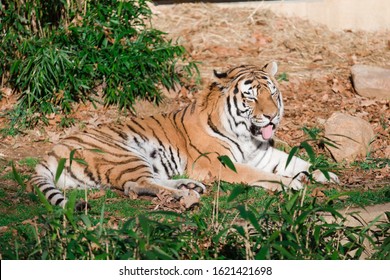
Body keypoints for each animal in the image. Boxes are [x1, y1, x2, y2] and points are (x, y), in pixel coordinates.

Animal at [31, 62, 338, 209]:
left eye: (272, 93)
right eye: (251, 97)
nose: (272, 116)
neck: (249, 136)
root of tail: (50, 153)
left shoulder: (264, 154)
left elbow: (298, 161)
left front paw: (326, 174)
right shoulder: (221, 164)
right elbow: (260, 176)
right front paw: (292, 184)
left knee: (139, 184)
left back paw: (188, 187)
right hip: (123, 153)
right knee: (135, 185)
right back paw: (183, 194)